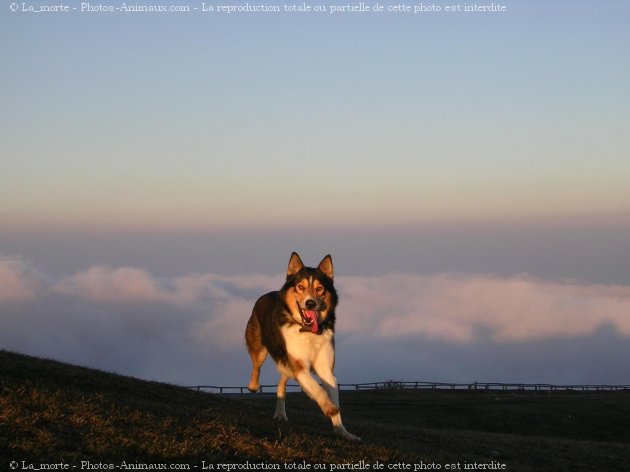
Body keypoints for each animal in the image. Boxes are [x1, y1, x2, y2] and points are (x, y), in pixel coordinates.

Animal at [246, 253, 360, 440]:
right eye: (300, 286)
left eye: (320, 289)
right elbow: (317, 389)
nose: (310, 303)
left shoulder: (326, 370)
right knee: (256, 367)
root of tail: (266, 294)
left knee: (282, 382)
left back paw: (280, 413)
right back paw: (253, 386)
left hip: (286, 363)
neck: (308, 331)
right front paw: (329, 408)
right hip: (260, 349)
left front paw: (342, 431)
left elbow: (329, 391)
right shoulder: (300, 367)